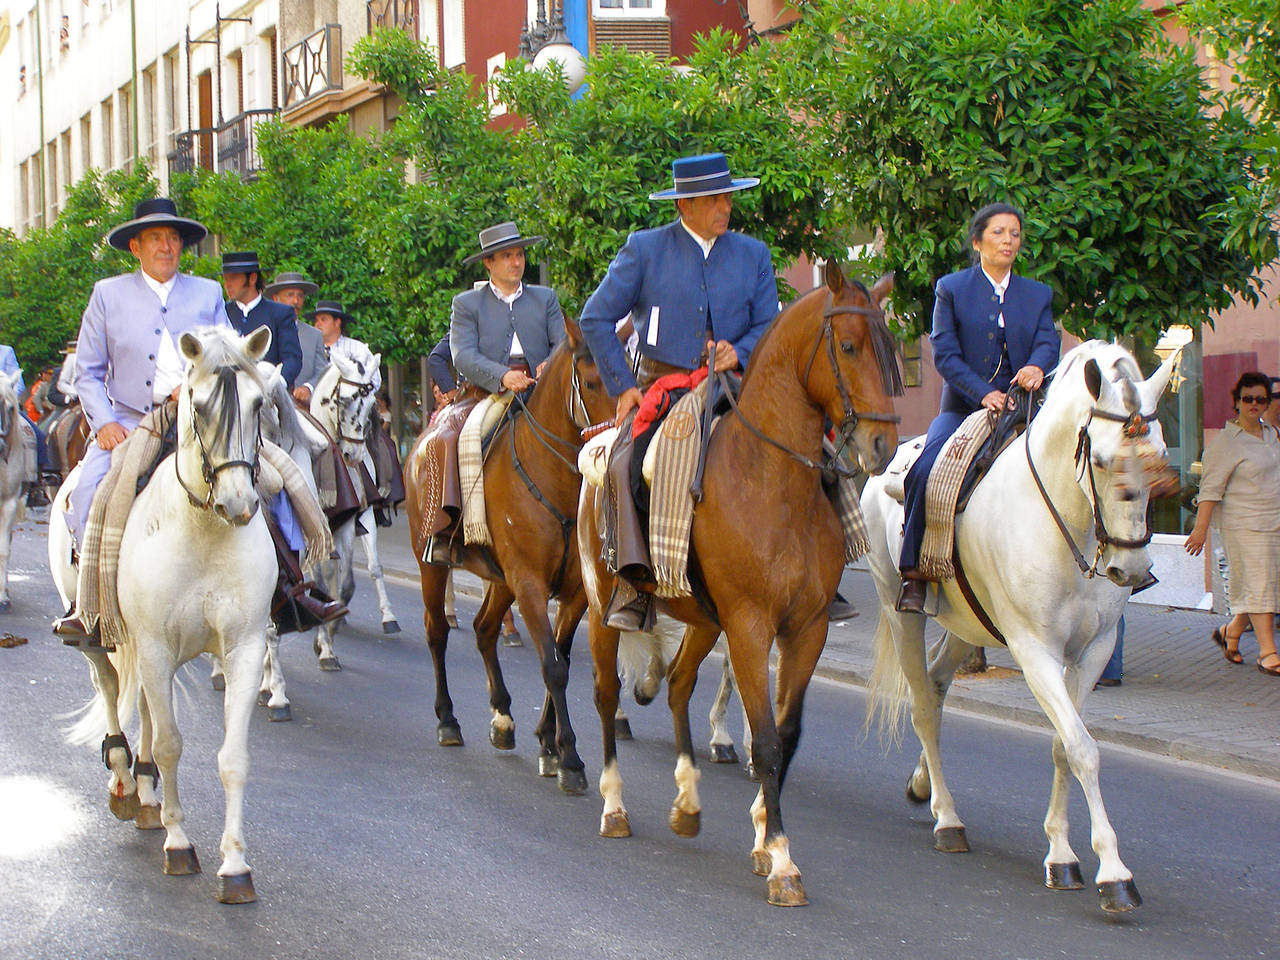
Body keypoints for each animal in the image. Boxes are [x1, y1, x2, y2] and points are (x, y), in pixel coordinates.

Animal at [61, 327, 276, 906]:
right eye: (198, 406)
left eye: (259, 403)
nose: (239, 503)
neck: (204, 531)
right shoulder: (155, 645)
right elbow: (171, 744)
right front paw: (180, 844)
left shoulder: (244, 649)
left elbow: (232, 757)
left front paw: (235, 865)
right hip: (104, 639)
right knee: (112, 689)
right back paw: (124, 778)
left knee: (142, 704)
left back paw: (145, 791)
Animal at [304, 350, 394, 670]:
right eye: (343, 400)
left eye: (370, 405)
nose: (353, 454)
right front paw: (323, 641)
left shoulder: (349, 521)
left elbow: (348, 582)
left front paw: (327, 641)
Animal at [401, 317, 616, 798]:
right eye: (592, 381)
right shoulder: (530, 583)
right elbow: (553, 667)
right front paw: (569, 757)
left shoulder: (573, 592)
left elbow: (561, 658)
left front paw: (549, 744)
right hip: (432, 565)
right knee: (436, 632)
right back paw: (448, 719)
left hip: (500, 580)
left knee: (484, 629)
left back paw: (502, 717)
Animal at [581, 263, 901, 911]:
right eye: (849, 347)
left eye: (891, 350)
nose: (882, 445)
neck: (772, 481)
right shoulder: (752, 627)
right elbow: (768, 742)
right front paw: (781, 860)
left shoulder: (806, 629)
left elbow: (786, 735)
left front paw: (761, 836)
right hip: (606, 608)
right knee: (605, 695)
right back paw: (614, 805)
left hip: (704, 620)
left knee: (679, 686)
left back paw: (686, 802)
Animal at [860, 340, 1177, 916]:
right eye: (1102, 461)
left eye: (1160, 457)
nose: (1132, 569)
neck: (1067, 520)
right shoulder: (1035, 652)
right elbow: (1083, 749)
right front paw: (1113, 871)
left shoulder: (1093, 653)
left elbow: (1065, 745)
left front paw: (1061, 853)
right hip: (901, 612)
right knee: (922, 706)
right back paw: (948, 819)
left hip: (966, 624)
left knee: (936, 687)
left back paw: (924, 787)